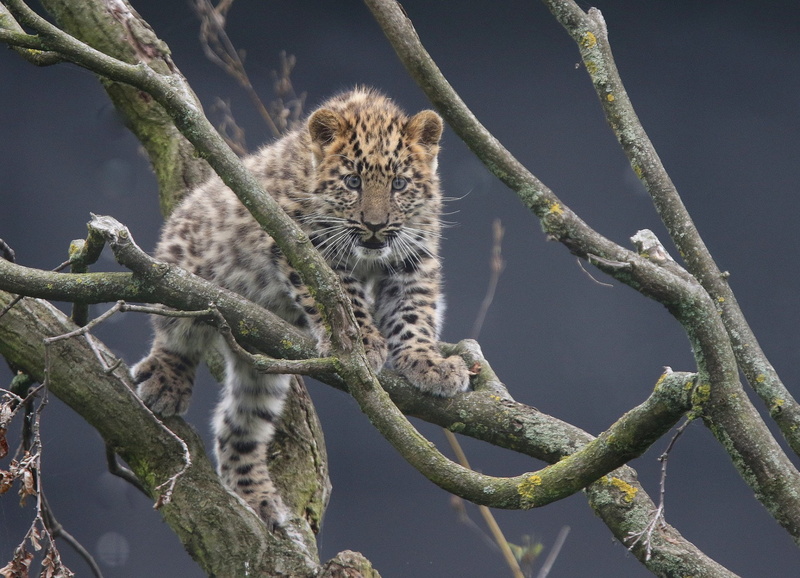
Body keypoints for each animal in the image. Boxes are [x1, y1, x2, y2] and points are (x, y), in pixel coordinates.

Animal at [131, 87, 471, 529]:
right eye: (353, 181)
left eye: (399, 184)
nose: (376, 225)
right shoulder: (305, 245)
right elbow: (339, 295)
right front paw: (361, 343)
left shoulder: (412, 258)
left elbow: (414, 313)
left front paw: (429, 363)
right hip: (181, 276)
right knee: (174, 334)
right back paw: (165, 383)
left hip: (262, 365)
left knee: (238, 424)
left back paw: (258, 499)